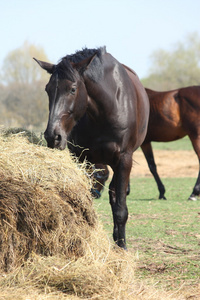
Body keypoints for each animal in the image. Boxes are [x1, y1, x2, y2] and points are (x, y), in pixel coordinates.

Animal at [34, 47, 150, 248]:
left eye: (73, 89)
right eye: (48, 90)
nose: (52, 136)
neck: (107, 110)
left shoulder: (124, 160)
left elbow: (120, 208)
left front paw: (122, 246)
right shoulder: (82, 159)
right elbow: (84, 204)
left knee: (115, 196)